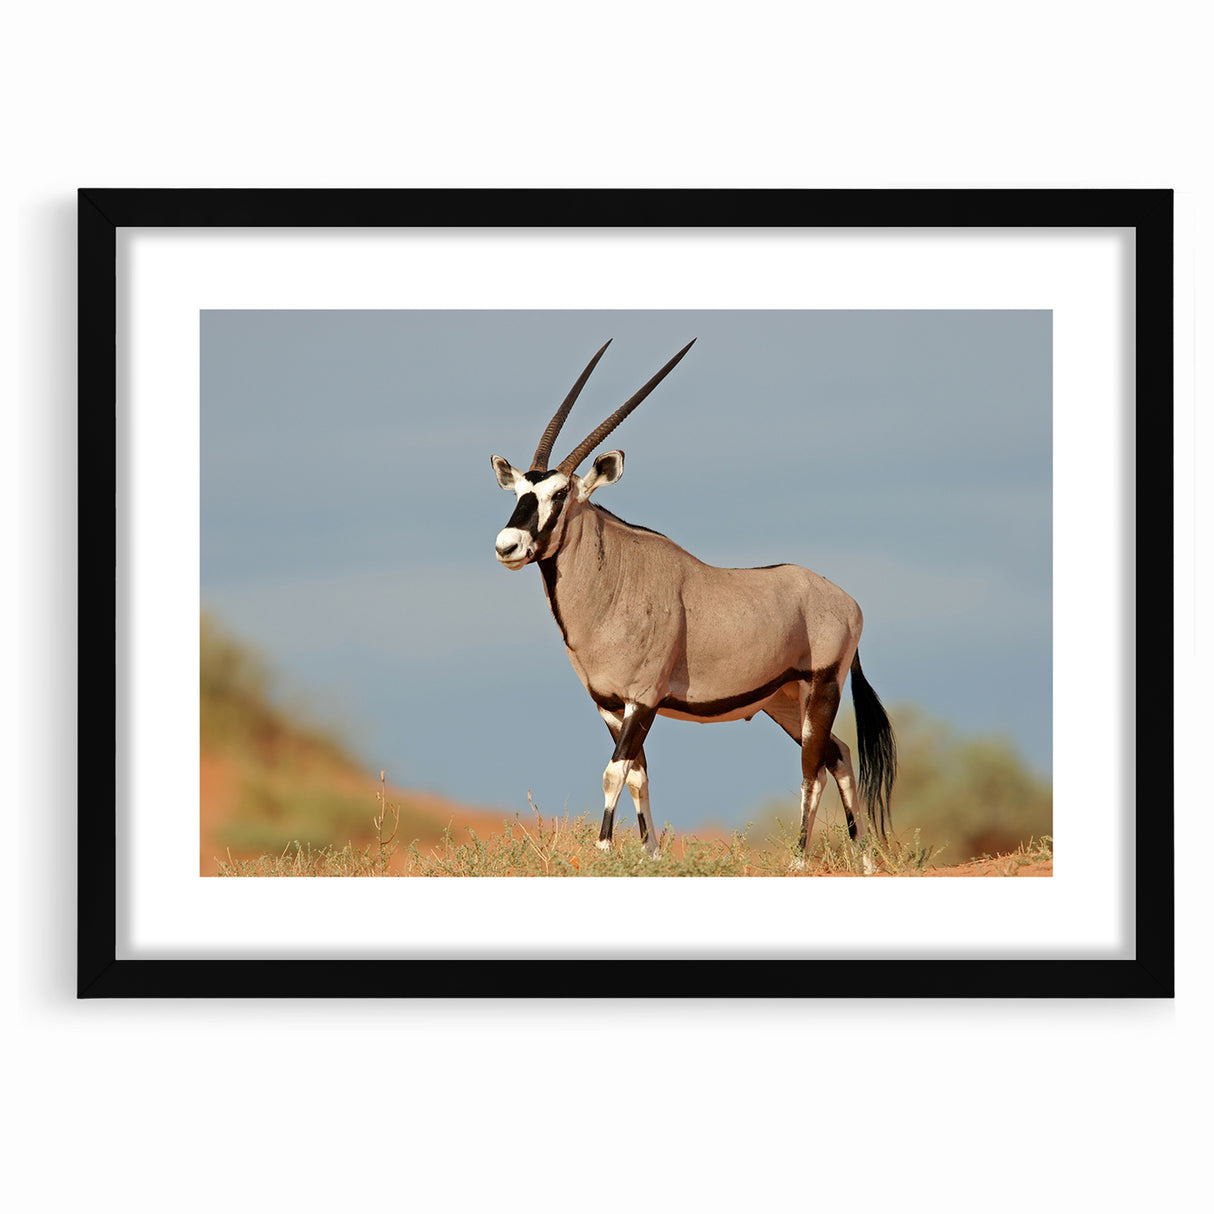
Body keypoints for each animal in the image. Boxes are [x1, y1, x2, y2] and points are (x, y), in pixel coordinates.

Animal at [490, 340, 896, 858]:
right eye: (519, 491)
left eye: (559, 493)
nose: (508, 546)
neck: (615, 580)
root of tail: (846, 602)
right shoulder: (610, 705)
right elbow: (637, 775)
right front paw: (650, 855)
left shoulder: (643, 699)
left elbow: (614, 772)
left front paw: (604, 850)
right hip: (785, 700)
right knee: (838, 755)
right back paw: (864, 860)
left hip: (822, 687)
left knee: (813, 769)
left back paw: (800, 860)